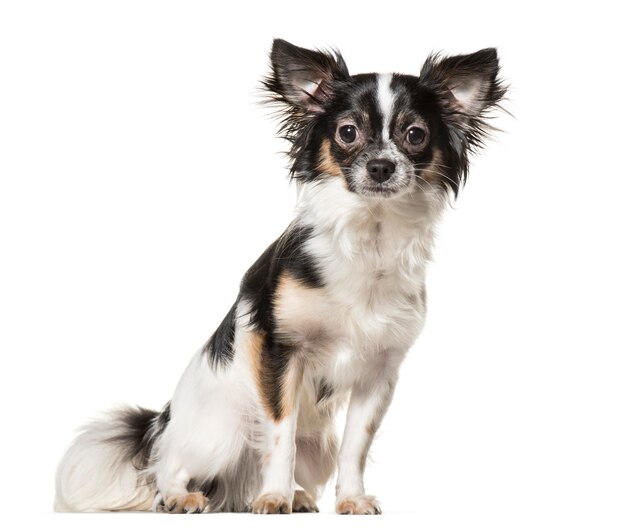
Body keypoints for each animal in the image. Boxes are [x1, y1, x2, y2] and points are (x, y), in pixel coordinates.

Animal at [52, 39, 502, 512]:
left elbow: (356, 445)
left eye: (415, 135)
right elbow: (279, 433)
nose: (381, 166)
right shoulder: (279, 354)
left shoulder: (379, 372)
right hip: (220, 432)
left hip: (316, 446)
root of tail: (164, 419)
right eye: (347, 132)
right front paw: (272, 499)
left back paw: (295, 495)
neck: (370, 236)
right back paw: (182, 496)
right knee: (168, 466)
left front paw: (351, 499)